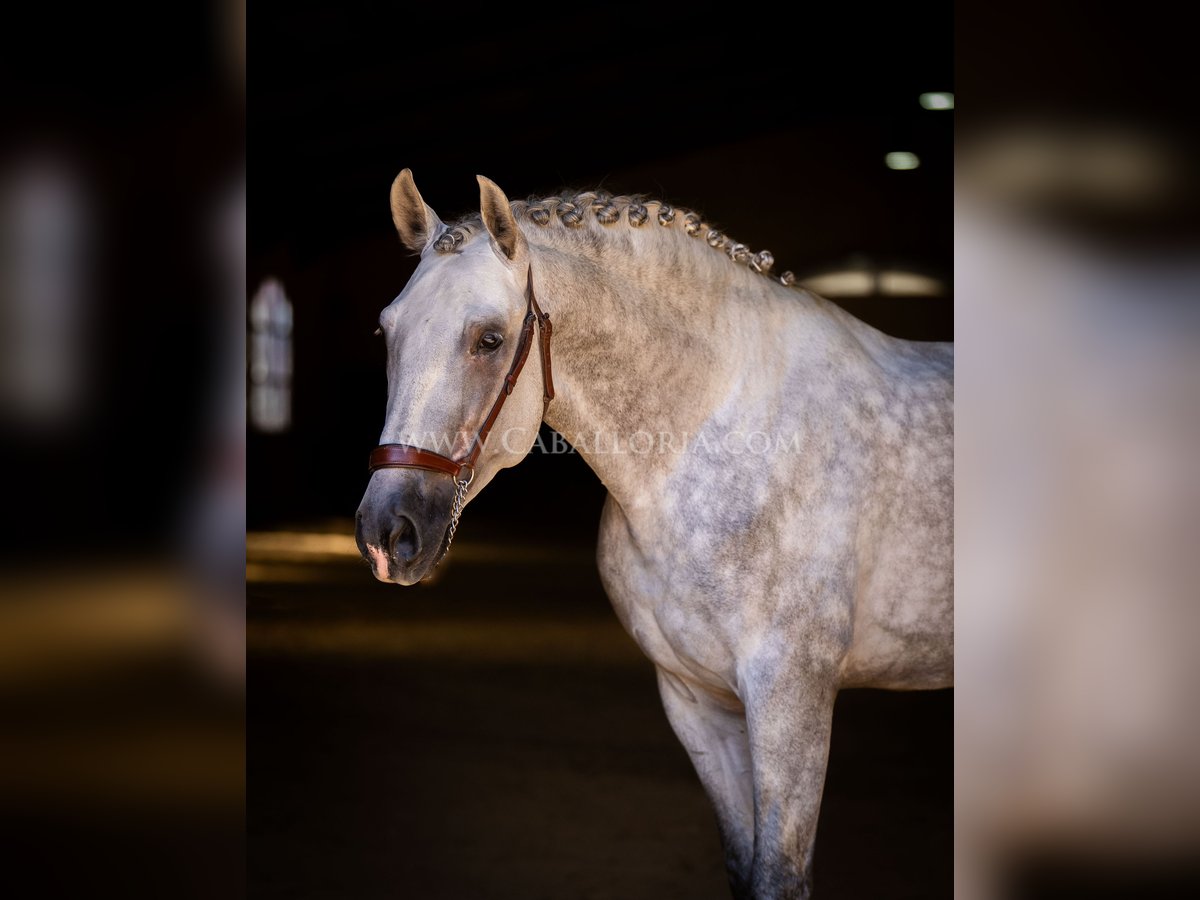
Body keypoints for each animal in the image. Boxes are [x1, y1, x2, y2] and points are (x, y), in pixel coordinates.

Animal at [350, 172, 950, 897]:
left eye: (489, 339)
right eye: (387, 329)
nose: (387, 532)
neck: (717, 436)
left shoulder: (792, 699)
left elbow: (778, 876)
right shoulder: (696, 700)